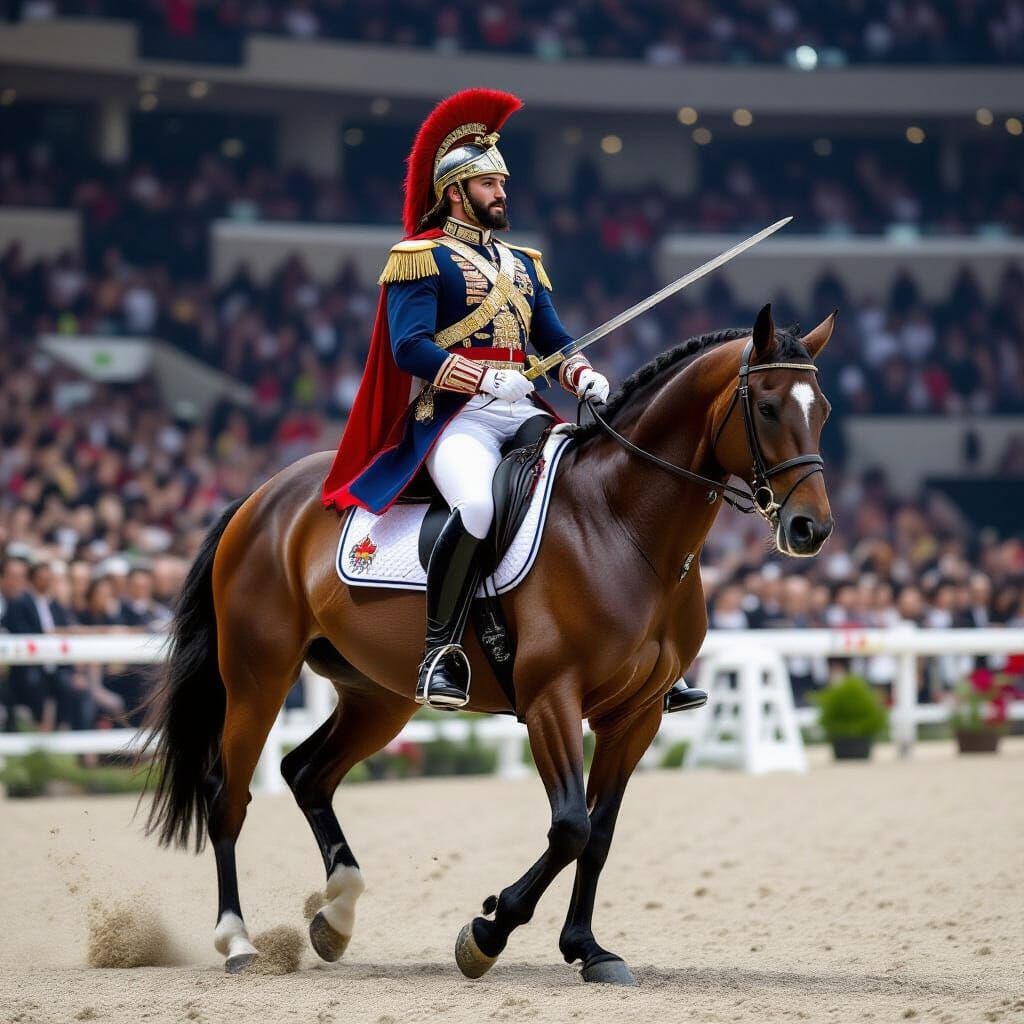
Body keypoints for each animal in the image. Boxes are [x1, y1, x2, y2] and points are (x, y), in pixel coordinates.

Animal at [142, 303, 836, 984]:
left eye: (823, 409)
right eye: (768, 407)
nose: (812, 528)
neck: (622, 522)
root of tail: (263, 496)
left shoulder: (635, 716)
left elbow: (600, 833)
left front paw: (588, 949)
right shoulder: (551, 699)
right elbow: (571, 827)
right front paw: (486, 931)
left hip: (379, 696)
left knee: (306, 773)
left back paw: (336, 915)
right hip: (257, 678)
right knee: (228, 795)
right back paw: (238, 941)